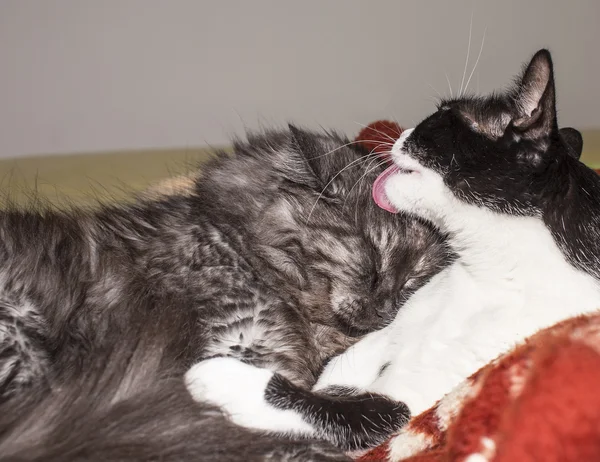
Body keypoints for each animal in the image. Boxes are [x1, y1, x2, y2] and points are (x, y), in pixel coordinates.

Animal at [188, 49, 600, 448]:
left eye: (441, 117)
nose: (401, 133)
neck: (486, 272)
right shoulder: (392, 327)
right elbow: (343, 367)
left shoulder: (429, 389)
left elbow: (356, 412)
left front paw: (220, 377)